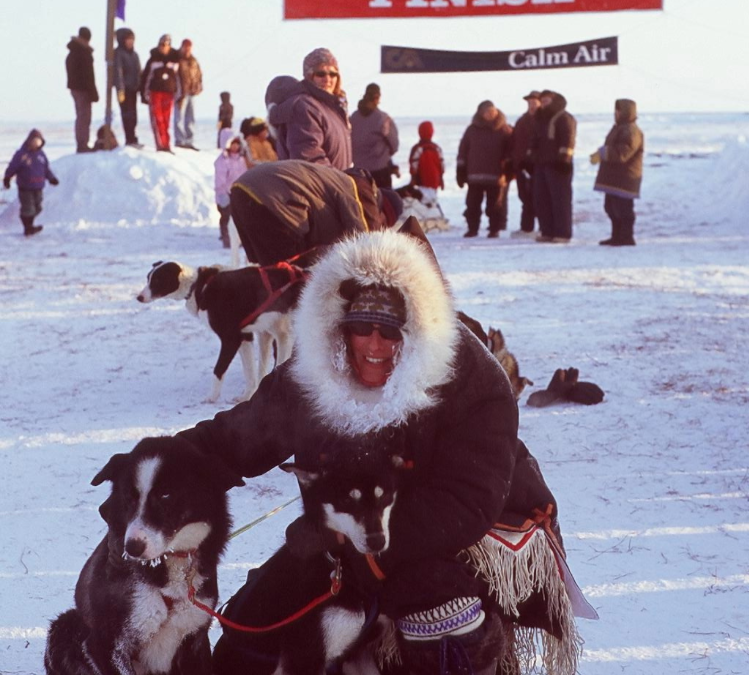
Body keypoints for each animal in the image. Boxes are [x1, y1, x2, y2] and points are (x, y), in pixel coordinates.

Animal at [43, 438, 244, 675]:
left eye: (166, 494)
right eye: (128, 497)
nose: (131, 547)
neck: (172, 563)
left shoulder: (194, 638)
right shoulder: (105, 645)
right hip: (65, 627)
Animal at [136, 251, 318, 404]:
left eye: (157, 280)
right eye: (148, 278)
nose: (139, 297)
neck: (198, 286)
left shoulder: (230, 339)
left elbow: (218, 370)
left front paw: (212, 397)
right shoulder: (245, 337)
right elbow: (249, 372)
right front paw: (247, 396)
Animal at [213, 434, 406, 675]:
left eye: (384, 496)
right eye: (346, 500)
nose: (377, 540)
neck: (338, 568)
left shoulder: (356, 651)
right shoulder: (306, 657)